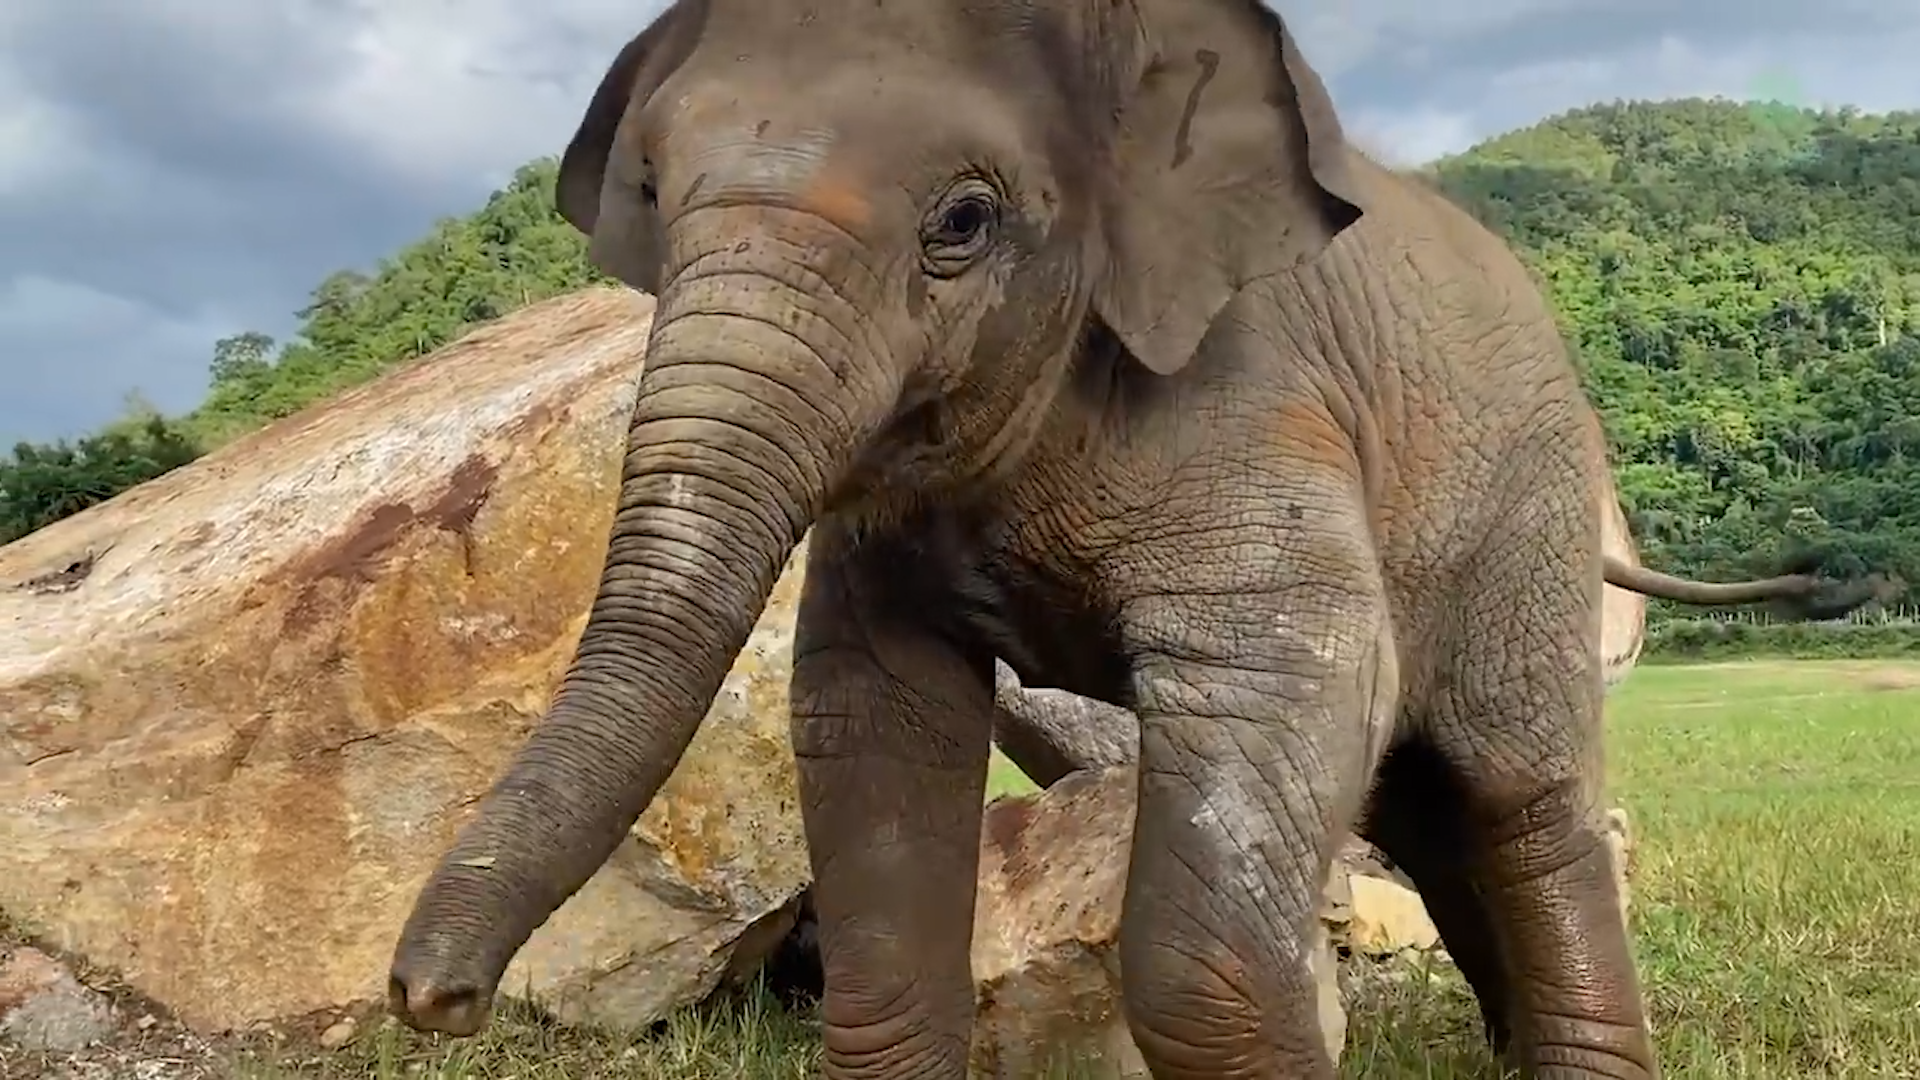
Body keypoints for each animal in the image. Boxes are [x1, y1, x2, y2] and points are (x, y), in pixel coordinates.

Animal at [386, 2, 1889, 1076]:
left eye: (963, 221)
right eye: (650, 192)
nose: (428, 999)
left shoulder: (1255, 398)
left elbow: (1289, 701)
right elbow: (874, 726)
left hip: (1523, 499)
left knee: (1519, 796)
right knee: (1425, 804)